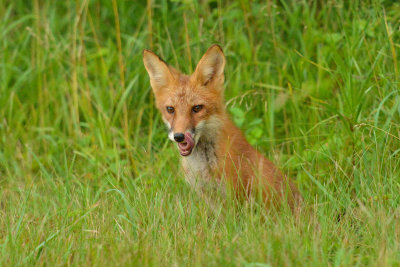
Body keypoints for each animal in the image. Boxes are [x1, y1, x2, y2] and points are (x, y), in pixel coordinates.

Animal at [142, 45, 302, 209]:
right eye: (170, 109)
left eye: (197, 108)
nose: (179, 136)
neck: (203, 165)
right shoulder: (206, 196)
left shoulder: (234, 196)